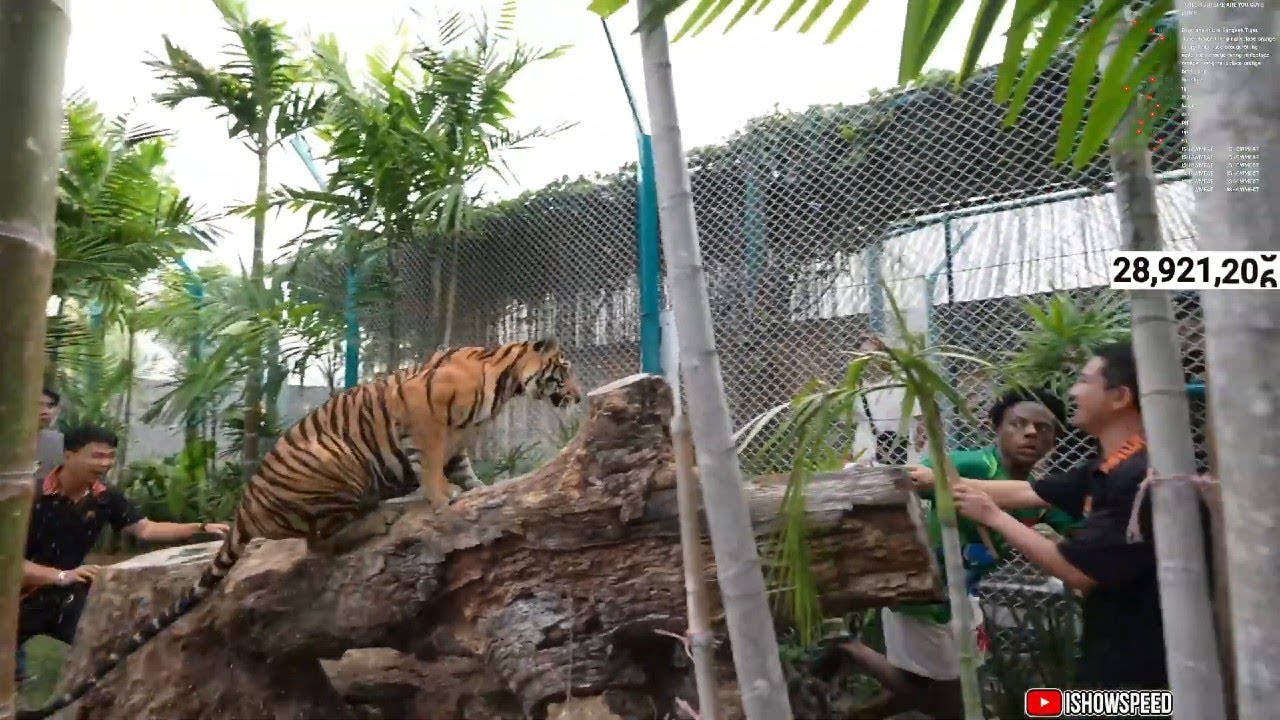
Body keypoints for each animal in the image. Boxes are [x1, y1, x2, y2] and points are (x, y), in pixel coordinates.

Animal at [17, 338, 581, 720]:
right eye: (565, 372)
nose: (577, 397)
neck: (505, 380)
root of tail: (245, 509)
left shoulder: (458, 442)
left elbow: (462, 468)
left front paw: (481, 489)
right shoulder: (427, 421)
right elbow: (434, 468)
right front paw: (444, 499)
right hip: (338, 466)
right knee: (320, 539)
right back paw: (381, 516)